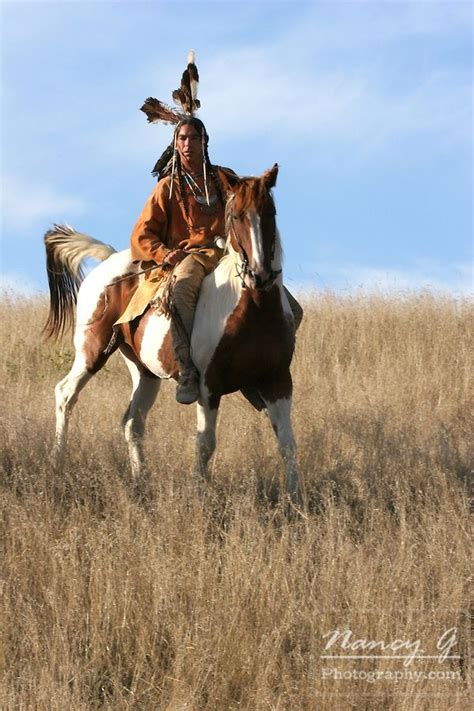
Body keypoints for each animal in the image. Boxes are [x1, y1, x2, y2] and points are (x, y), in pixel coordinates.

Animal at [42, 165, 298, 500]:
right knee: (66, 394)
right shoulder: (208, 385)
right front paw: (200, 496)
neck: (251, 309)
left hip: (144, 372)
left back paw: (141, 482)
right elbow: (205, 444)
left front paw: (295, 499)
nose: (260, 274)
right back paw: (57, 462)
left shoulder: (277, 382)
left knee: (133, 422)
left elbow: (287, 445)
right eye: (236, 215)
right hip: (91, 351)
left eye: (271, 212)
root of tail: (109, 260)